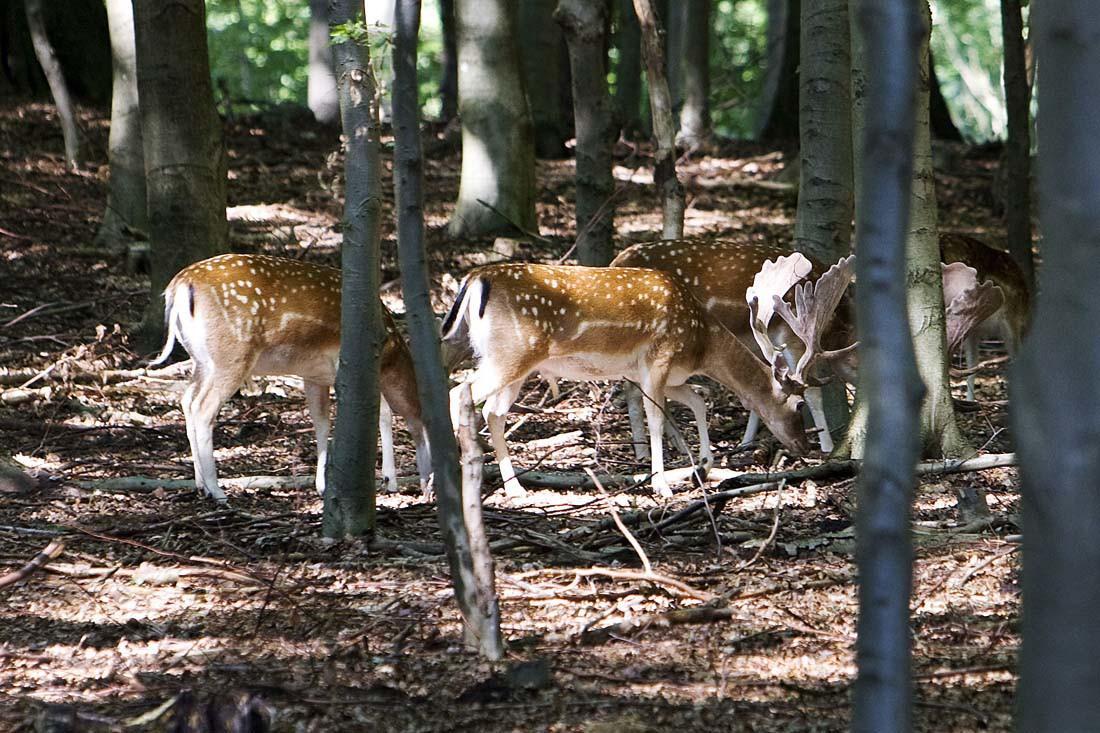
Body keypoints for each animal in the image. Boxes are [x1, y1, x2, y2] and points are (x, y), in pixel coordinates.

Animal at [149, 253, 429, 501]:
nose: (429, 483)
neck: (391, 353)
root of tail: (180, 286)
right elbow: (383, 413)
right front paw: (389, 481)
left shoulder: (314, 376)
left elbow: (321, 421)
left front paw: (322, 485)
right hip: (231, 356)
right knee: (203, 407)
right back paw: (216, 491)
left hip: (202, 361)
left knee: (187, 400)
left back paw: (199, 485)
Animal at [442, 260, 814, 497]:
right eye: (799, 405)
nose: (804, 446)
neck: (702, 346)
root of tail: (475, 278)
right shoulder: (658, 361)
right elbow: (656, 420)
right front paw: (661, 484)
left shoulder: (662, 375)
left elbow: (698, 399)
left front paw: (703, 466)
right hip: (510, 353)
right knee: (459, 394)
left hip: (512, 364)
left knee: (493, 412)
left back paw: (515, 488)